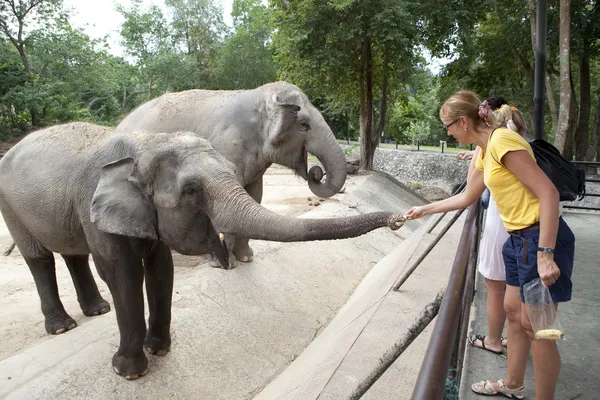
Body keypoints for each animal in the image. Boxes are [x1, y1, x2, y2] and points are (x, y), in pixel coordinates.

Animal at [0, 122, 406, 378]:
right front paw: (127, 371)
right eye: (192, 189)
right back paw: (63, 327)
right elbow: (123, 273)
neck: (141, 145)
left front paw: (159, 350)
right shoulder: (93, 205)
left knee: (72, 253)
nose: (401, 218)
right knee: (39, 258)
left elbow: (161, 267)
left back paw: (97, 311)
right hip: (11, 207)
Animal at [115, 81, 346, 268]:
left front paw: (246, 258)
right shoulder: (226, 146)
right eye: (304, 125)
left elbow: (255, 195)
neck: (257, 96)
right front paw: (225, 264)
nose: (316, 173)